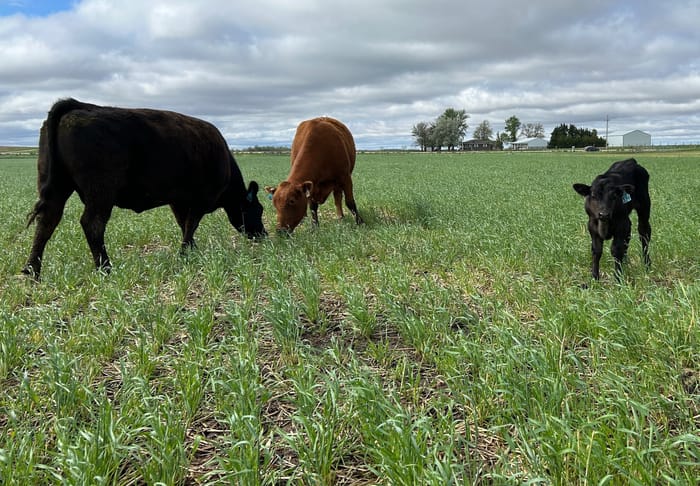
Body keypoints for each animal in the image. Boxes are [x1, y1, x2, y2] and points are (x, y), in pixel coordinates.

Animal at [22, 98, 266, 280]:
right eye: (259, 210)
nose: (263, 234)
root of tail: (79, 105)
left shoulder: (178, 201)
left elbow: (184, 224)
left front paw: (191, 250)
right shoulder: (200, 199)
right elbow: (191, 224)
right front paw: (185, 253)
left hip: (57, 186)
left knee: (47, 222)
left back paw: (32, 271)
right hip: (100, 191)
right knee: (92, 224)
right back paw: (106, 268)